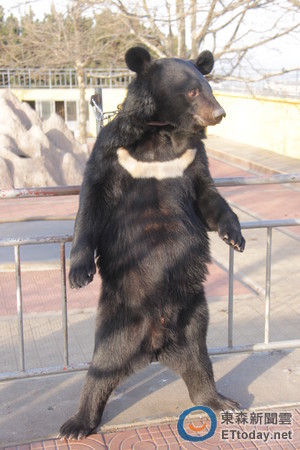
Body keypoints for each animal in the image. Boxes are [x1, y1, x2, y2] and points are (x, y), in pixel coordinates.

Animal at [58, 47, 244, 438]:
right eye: (192, 91)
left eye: (208, 87)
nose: (219, 113)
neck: (162, 134)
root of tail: (155, 345)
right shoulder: (113, 152)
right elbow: (91, 202)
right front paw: (80, 273)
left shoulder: (192, 160)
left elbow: (209, 196)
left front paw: (235, 238)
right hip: (117, 321)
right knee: (99, 371)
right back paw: (77, 423)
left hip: (194, 316)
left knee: (200, 364)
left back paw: (219, 400)